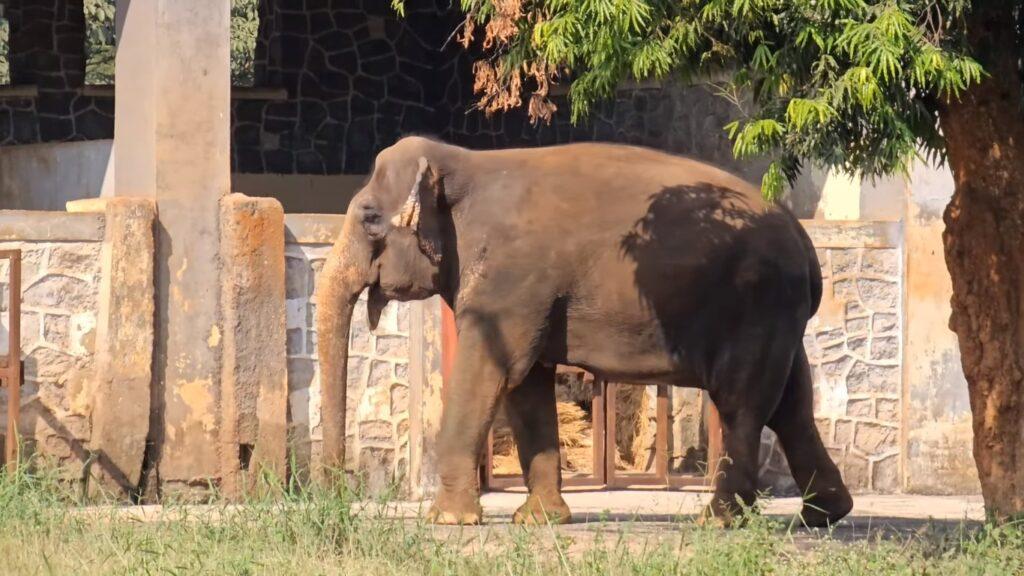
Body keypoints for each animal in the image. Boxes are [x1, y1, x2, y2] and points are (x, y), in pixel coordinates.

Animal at [313, 134, 856, 524]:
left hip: (755, 304)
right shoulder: (524, 295)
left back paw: (720, 521)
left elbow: (493, 372)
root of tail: (806, 244)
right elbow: (527, 385)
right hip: (778, 314)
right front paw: (539, 522)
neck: (463, 162)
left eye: (369, 217)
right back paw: (824, 514)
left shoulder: (511, 281)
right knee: (792, 404)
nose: (337, 497)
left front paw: (447, 522)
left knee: (743, 404)